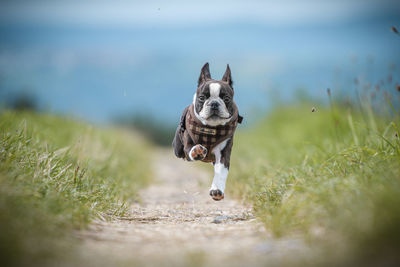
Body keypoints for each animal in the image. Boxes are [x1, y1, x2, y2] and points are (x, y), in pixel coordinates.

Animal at [171, 62, 242, 201]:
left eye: (226, 98)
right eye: (202, 97)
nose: (214, 103)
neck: (210, 128)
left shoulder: (224, 153)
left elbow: (221, 171)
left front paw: (217, 190)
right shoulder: (188, 145)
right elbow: (191, 148)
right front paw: (197, 151)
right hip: (178, 149)